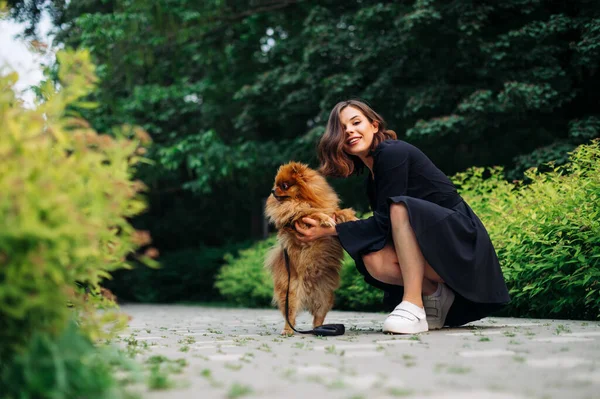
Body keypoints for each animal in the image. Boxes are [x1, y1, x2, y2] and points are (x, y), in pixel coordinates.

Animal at [264, 161, 356, 336]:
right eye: (276, 185)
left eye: (284, 186)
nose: (272, 190)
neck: (302, 199)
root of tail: (308, 290)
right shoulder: (298, 219)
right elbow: (311, 212)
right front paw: (325, 219)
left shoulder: (328, 208)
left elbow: (339, 211)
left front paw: (353, 218)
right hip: (291, 295)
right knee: (290, 316)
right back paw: (288, 331)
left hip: (324, 297)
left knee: (318, 318)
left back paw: (319, 330)